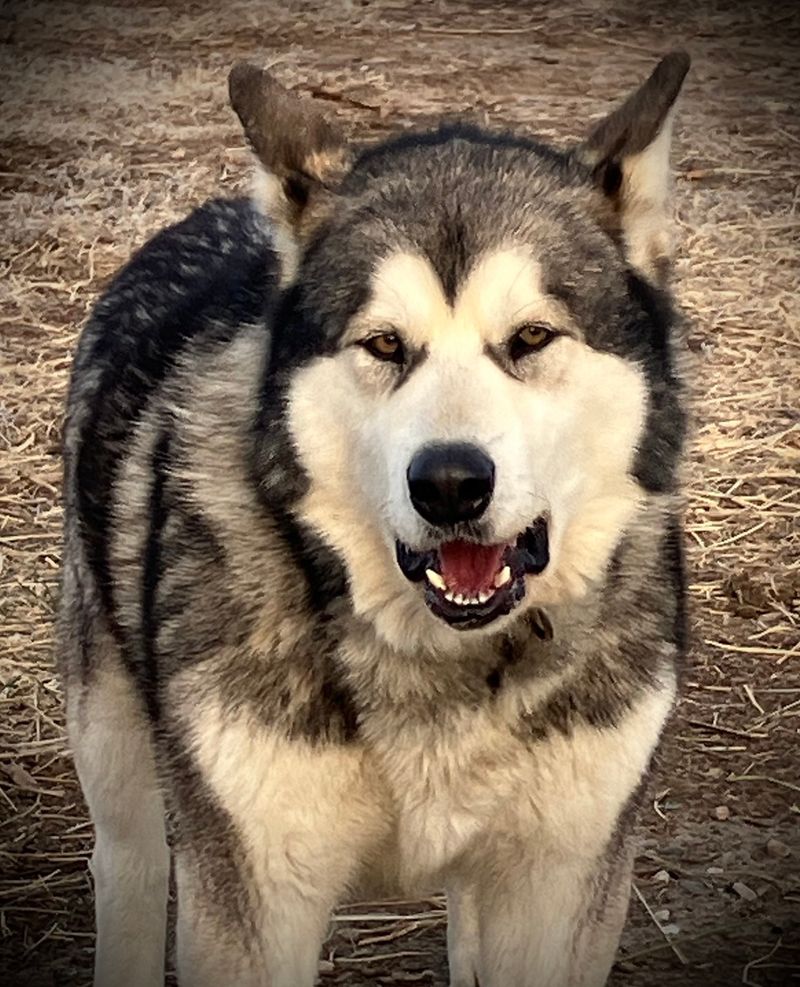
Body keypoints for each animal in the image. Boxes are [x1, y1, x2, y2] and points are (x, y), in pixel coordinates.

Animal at [59, 52, 692, 987]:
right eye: (386, 344)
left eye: (532, 338)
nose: (451, 483)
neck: (444, 668)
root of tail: (215, 214)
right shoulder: (253, 900)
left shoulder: (559, 881)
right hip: (116, 744)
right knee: (127, 866)